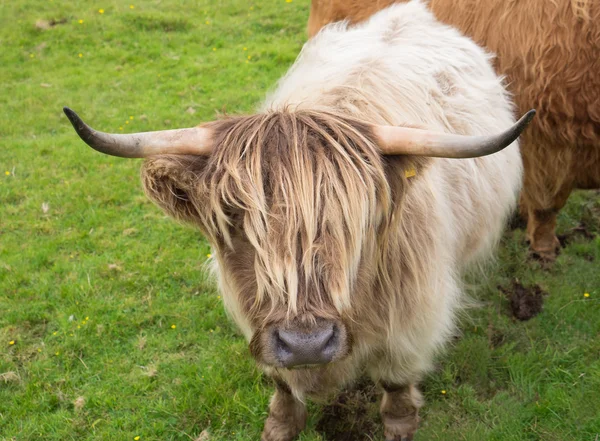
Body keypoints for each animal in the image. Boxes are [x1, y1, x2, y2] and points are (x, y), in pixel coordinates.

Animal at [67, 1, 536, 438]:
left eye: (360, 218)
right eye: (235, 215)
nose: (306, 344)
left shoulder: (414, 317)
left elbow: (396, 380)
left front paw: (400, 425)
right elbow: (281, 381)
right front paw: (279, 423)